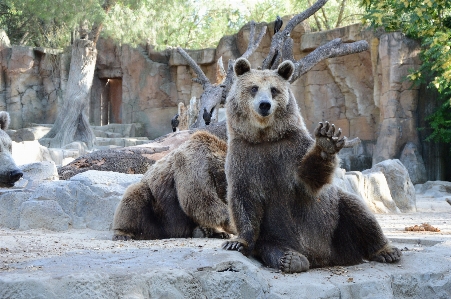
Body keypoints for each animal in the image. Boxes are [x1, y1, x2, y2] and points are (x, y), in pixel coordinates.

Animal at [222, 58, 402, 274]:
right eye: (254, 88)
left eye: (274, 89)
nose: (264, 105)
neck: (264, 137)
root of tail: (324, 258)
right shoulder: (245, 157)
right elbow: (243, 198)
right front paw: (236, 242)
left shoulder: (291, 150)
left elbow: (309, 178)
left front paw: (327, 140)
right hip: (274, 236)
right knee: (271, 247)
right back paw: (291, 259)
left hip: (336, 225)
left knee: (359, 211)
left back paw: (387, 250)